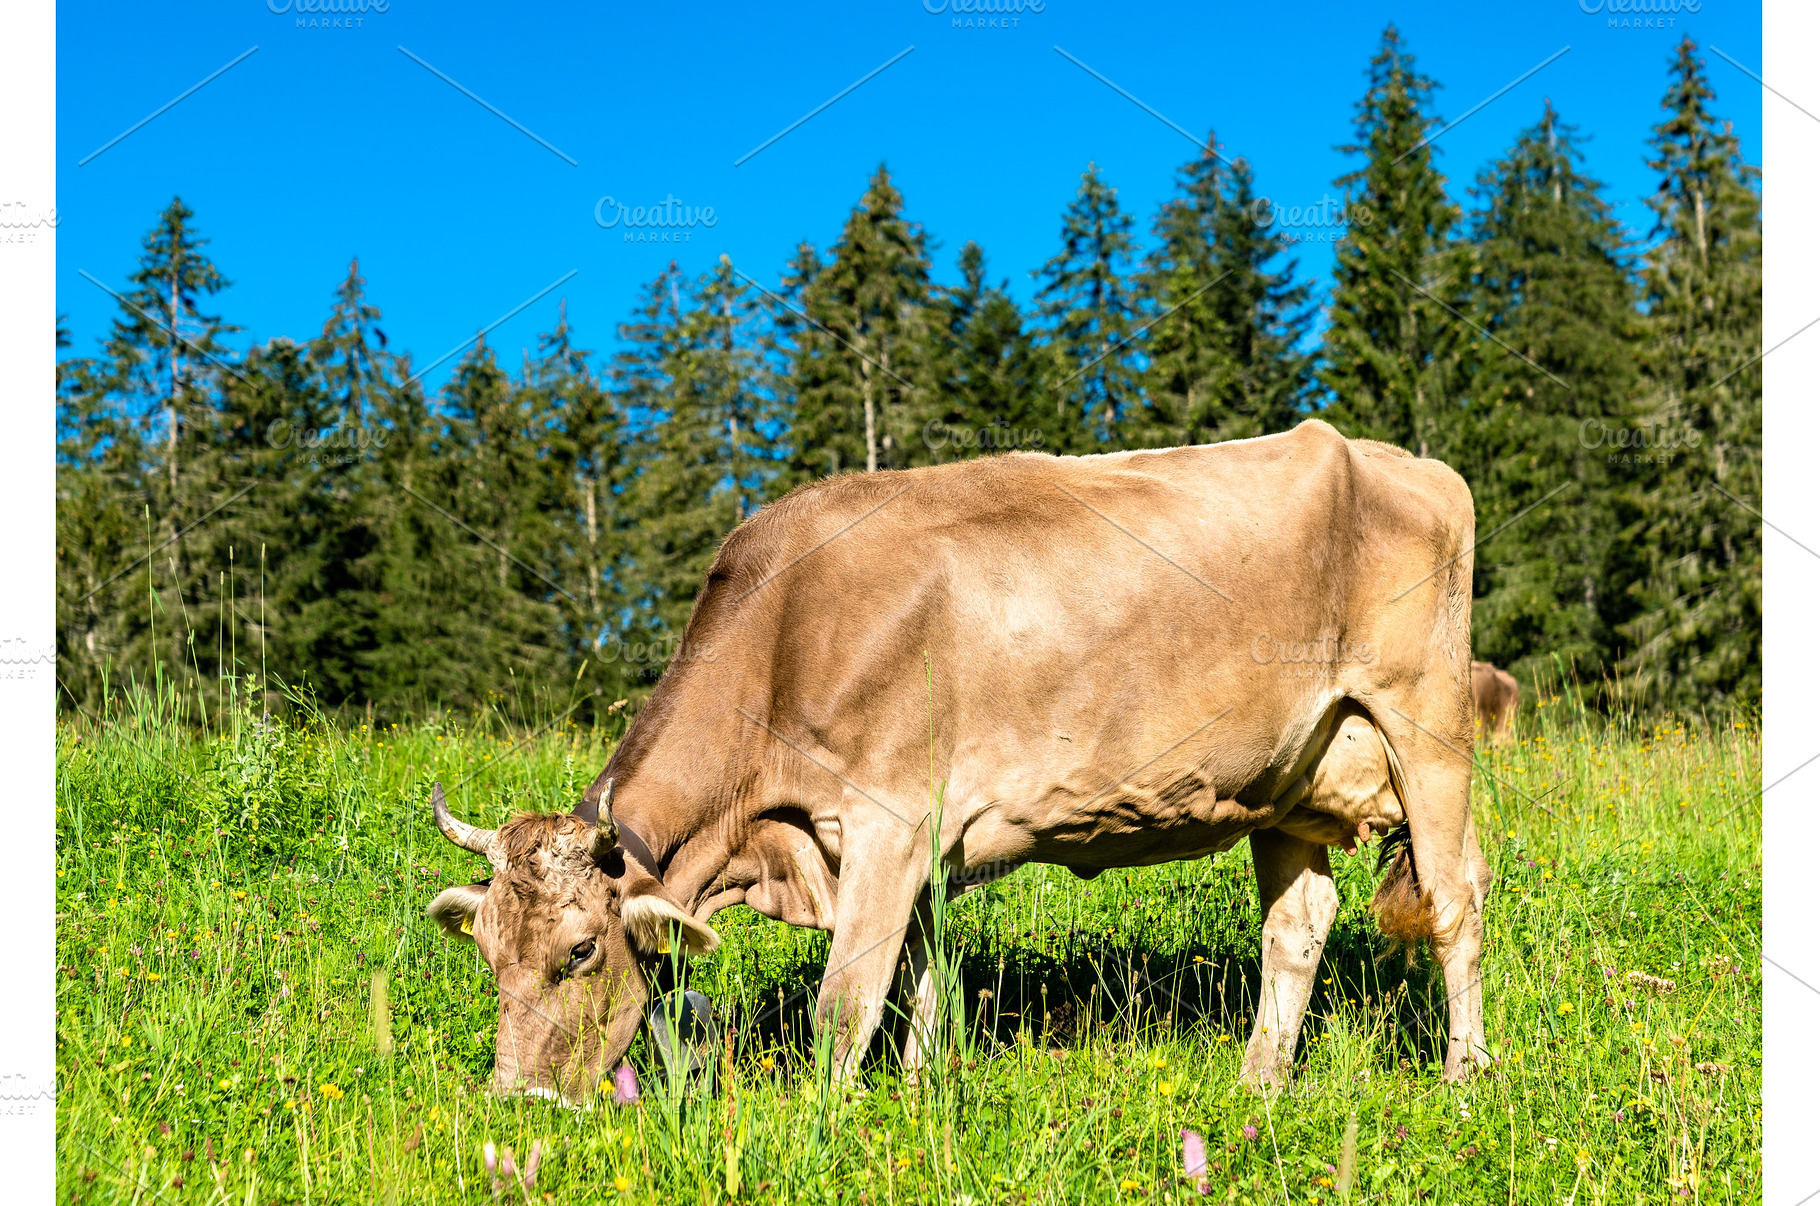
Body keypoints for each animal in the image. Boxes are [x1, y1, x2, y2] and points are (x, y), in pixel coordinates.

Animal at [426, 419, 1492, 1102]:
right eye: (486, 954)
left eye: (580, 951)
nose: (518, 1103)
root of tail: (1400, 461)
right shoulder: (920, 847)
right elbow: (924, 980)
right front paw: (920, 1093)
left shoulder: (885, 823)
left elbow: (844, 1004)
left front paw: (826, 1125)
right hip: (1287, 781)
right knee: (1297, 928)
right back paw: (1260, 1084)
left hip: (1425, 721)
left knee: (1454, 897)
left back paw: (1464, 1074)